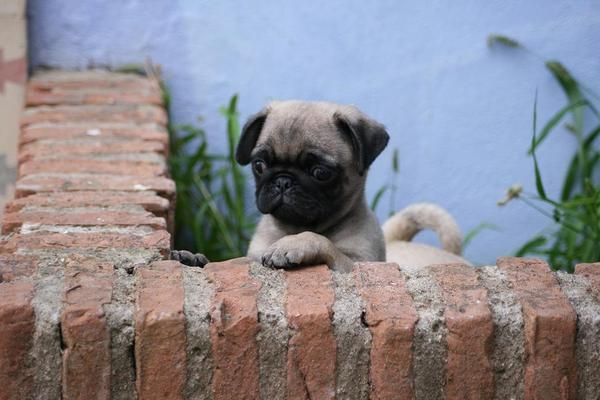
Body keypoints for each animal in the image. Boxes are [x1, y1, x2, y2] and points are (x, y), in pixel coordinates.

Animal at [171, 100, 392, 272]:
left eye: (320, 172)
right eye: (259, 165)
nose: (283, 181)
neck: (292, 227)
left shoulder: (358, 263)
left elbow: (321, 240)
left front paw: (292, 244)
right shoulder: (251, 258)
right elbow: (227, 262)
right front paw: (194, 258)